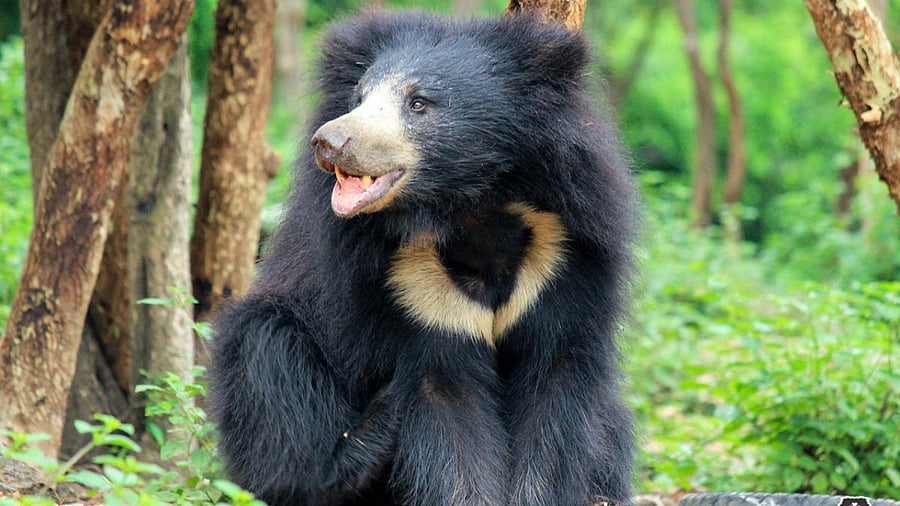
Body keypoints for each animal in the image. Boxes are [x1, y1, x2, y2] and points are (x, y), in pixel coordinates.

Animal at [209, 10, 639, 506]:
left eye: (419, 103)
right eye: (359, 97)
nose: (330, 141)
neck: (471, 210)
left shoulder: (563, 255)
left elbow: (554, 395)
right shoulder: (412, 289)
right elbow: (448, 411)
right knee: (269, 364)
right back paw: (364, 442)